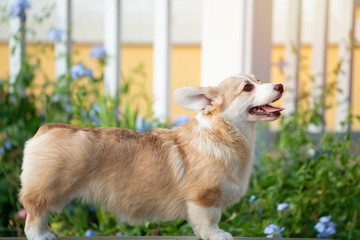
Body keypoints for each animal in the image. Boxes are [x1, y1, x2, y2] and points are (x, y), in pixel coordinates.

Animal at [19, 73, 284, 240]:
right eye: (248, 88)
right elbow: (210, 221)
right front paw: (218, 235)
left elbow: (198, 224)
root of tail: (46, 129)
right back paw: (41, 235)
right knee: (35, 214)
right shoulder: (204, 198)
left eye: (258, 80)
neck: (222, 133)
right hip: (49, 189)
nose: (280, 86)